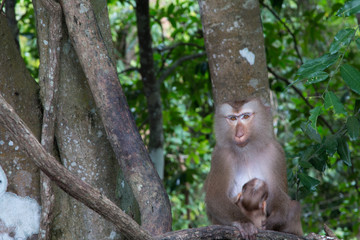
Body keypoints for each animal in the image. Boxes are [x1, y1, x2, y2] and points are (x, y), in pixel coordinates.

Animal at [204, 98, 302, 239]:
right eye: (233, 118)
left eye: (245, 116)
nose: (239, 134)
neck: (246, 150)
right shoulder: (220, 155)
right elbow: (215, 197)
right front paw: (244, 222)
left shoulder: (275, 152)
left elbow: (277, 192)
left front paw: (275, 219)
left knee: (294, 205)